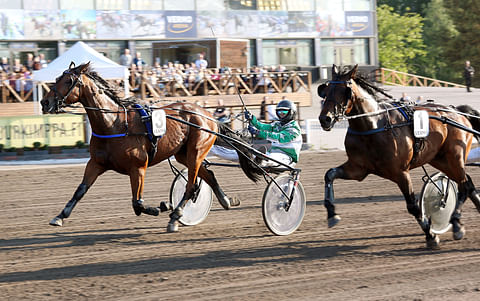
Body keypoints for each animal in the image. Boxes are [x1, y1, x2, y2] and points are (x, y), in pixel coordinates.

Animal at [39, 62, 260, 232]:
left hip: (196, 151)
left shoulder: (138, 167)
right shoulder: (96, 163)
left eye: (68, 81)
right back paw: (226, 201)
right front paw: (59, 216)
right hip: (184, 154)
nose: (44, 102)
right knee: (207, 176)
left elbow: (137, 203)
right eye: (57, 77)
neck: (114, 124)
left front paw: (162, 206)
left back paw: (175, 216)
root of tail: (208, 115)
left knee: (191, 186)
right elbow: (80, 190)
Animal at [318, 65, 480, 248]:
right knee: (468, 184)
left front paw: (431, 236)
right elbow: (329, 174)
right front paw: (332, 214)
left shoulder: (401, 172)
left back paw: (456, 221)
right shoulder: (358, 169)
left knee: (464, 186)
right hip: (440, 160)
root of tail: (456, 111)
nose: (325, 119)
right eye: (326, 90)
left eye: (344, 90)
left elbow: (413, 206)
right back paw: (460, 224)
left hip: (455, 157)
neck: (373, 125)